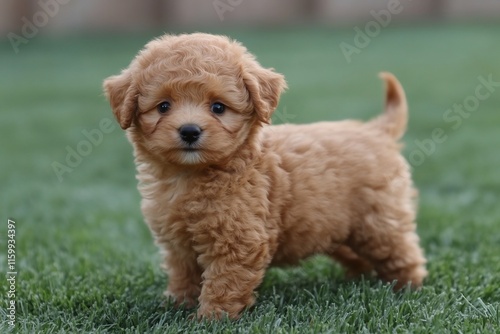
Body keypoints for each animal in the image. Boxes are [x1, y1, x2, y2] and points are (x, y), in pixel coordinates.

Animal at [103, 32, 428, 320]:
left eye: (218, 107)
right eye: (163, 106)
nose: (190, 131)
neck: (192, 174)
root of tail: (376, 130)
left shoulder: (238, 240)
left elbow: (224, 283)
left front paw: (211, 318)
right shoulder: (177, 242)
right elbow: (184, 274)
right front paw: (177, 304)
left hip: (378, 221)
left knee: (401, 252)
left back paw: (406, 287)